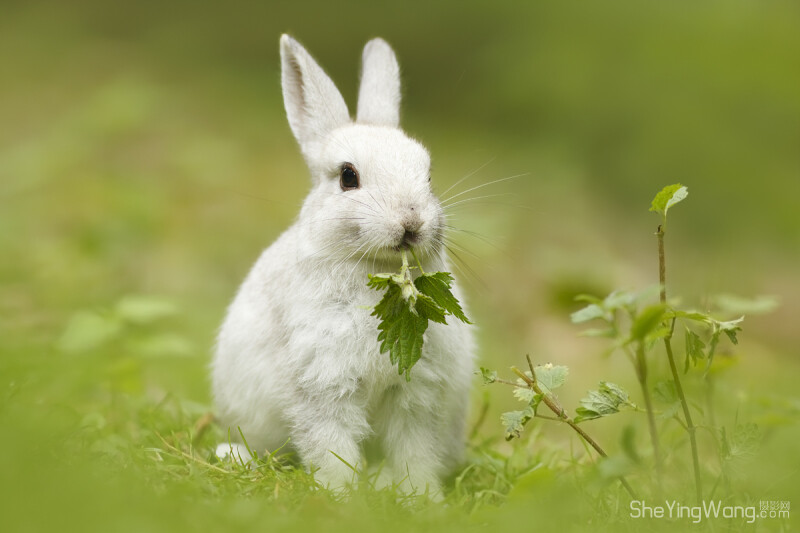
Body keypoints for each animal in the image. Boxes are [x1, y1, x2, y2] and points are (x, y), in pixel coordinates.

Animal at [212, 35, 476, 494]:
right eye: (348, 177)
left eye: (428, 175)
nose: (411, 222)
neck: (377, 274)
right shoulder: (321, 383)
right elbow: (330, 445)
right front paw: (342, 495)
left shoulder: (416, 392)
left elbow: (415, 451)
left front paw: (420, 496)